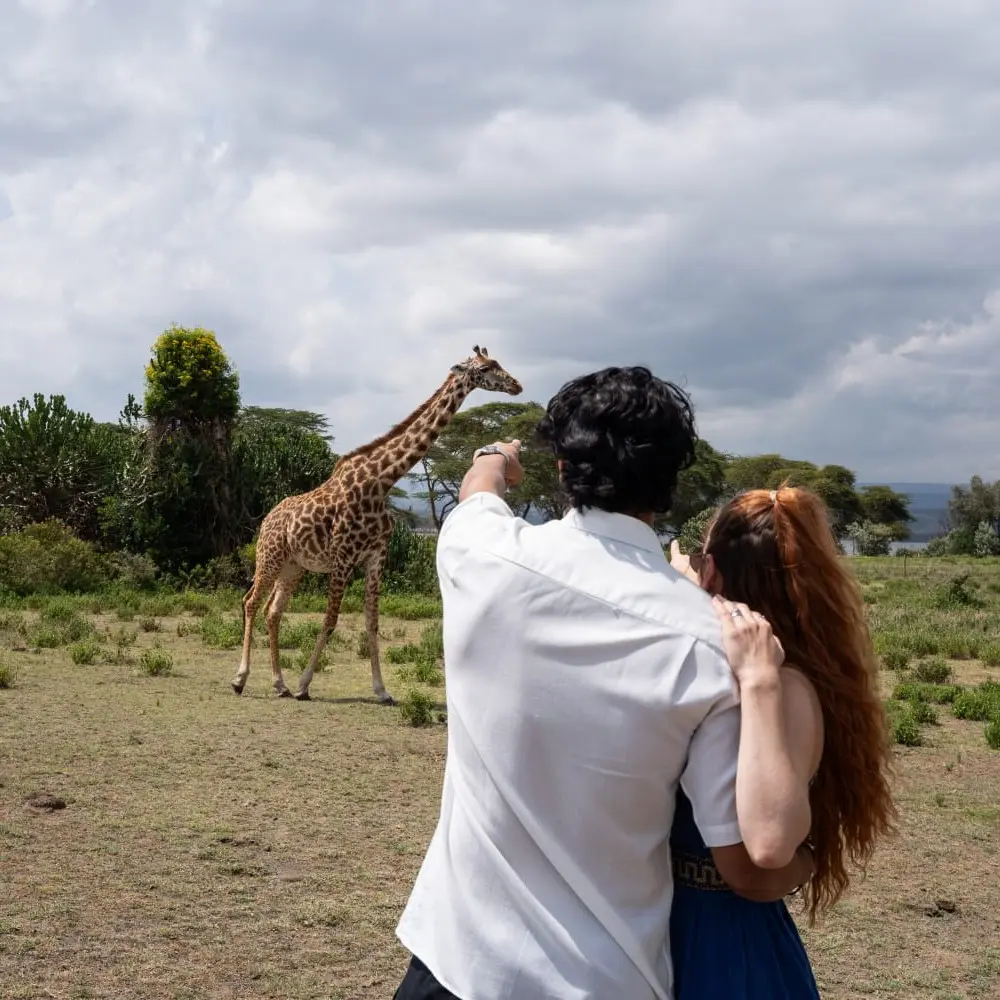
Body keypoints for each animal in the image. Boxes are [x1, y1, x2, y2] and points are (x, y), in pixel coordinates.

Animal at [230, 346, 523, 702]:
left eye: (497, 362)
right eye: (485, 368)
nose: (517, 385)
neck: (380, 481)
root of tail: (268, 518)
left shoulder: (375, 557)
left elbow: (372, 622)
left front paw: (382, 690)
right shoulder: (343, 559)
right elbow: (330, 620)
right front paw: (304, 685)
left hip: (293, 566)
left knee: (273, 612)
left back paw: (279, 684)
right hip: (269, 557)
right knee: (250, 602)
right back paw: (242, 679)